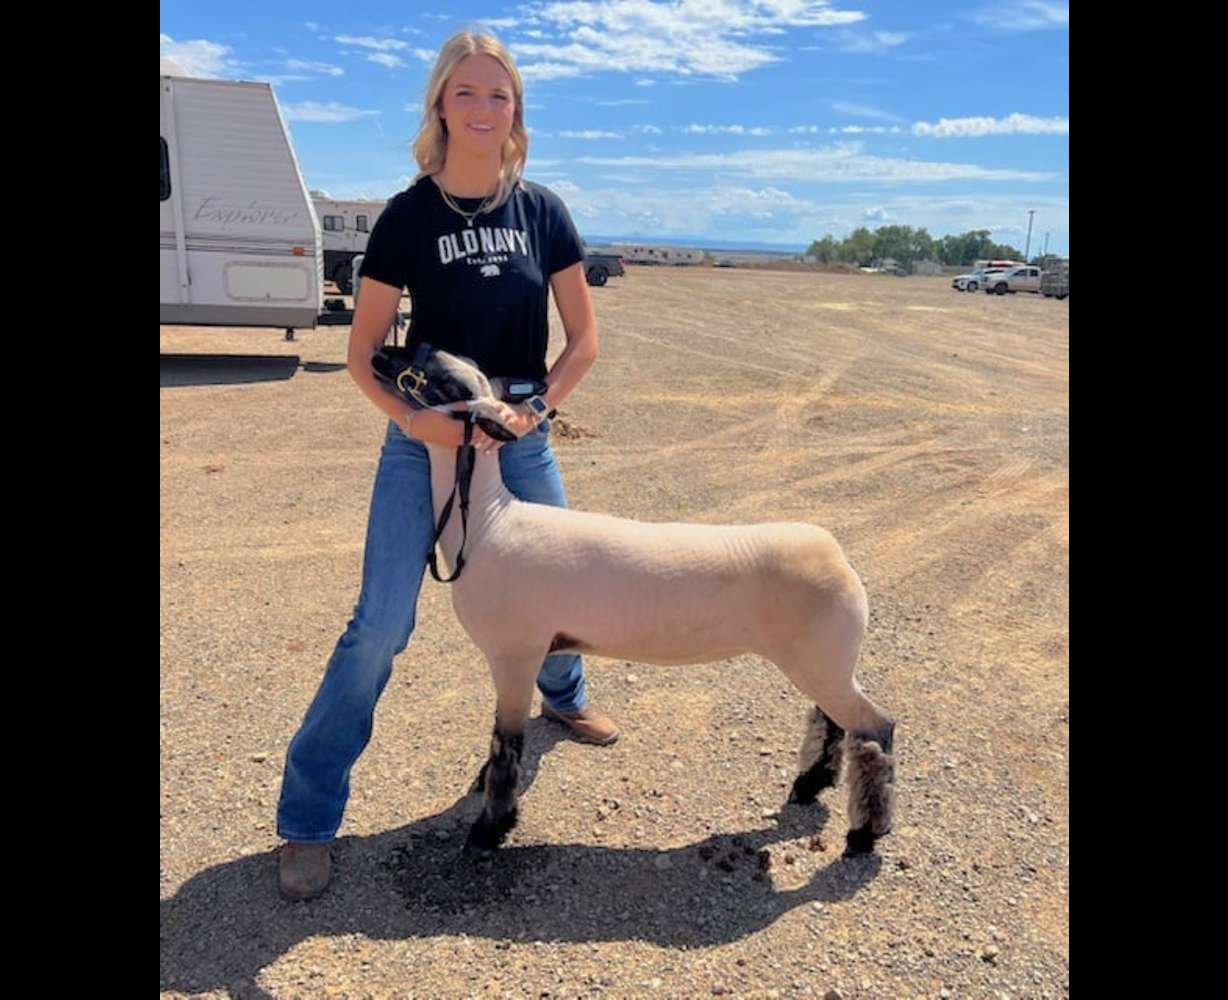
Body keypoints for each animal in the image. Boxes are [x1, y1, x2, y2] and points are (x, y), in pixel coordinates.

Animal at [379, 345, 897, 858]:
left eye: (442, 378)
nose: (381, 355)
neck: (488, 525)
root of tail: (837, 555)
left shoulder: (516, 652)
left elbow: (506, 744)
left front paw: (490, 828)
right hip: (823, 659)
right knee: (831, 721)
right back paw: (809, 785)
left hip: (821, 657)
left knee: (875, 728)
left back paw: (865, 832)